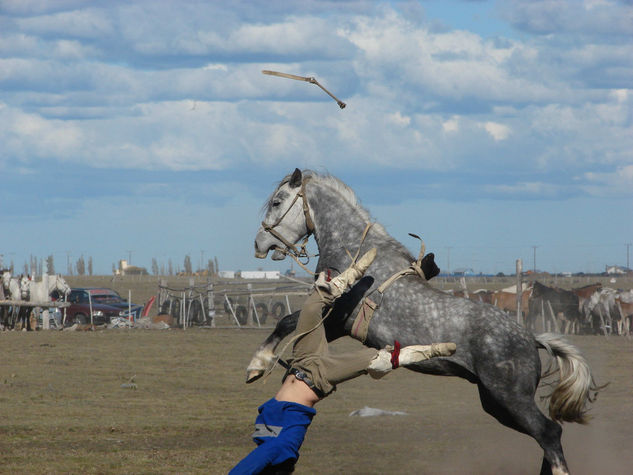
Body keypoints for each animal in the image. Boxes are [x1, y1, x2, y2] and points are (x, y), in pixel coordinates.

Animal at [248, 169, 604, 474]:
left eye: (277, 201)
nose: (259, 244)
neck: (357, 252)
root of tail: (531, 339)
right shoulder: (337, 325)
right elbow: (292, 327)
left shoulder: (335, 314)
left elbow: (286, 322)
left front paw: (257, 365)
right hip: (495, 403)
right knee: (547, 435)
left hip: (509, 398)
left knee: (549, 433)